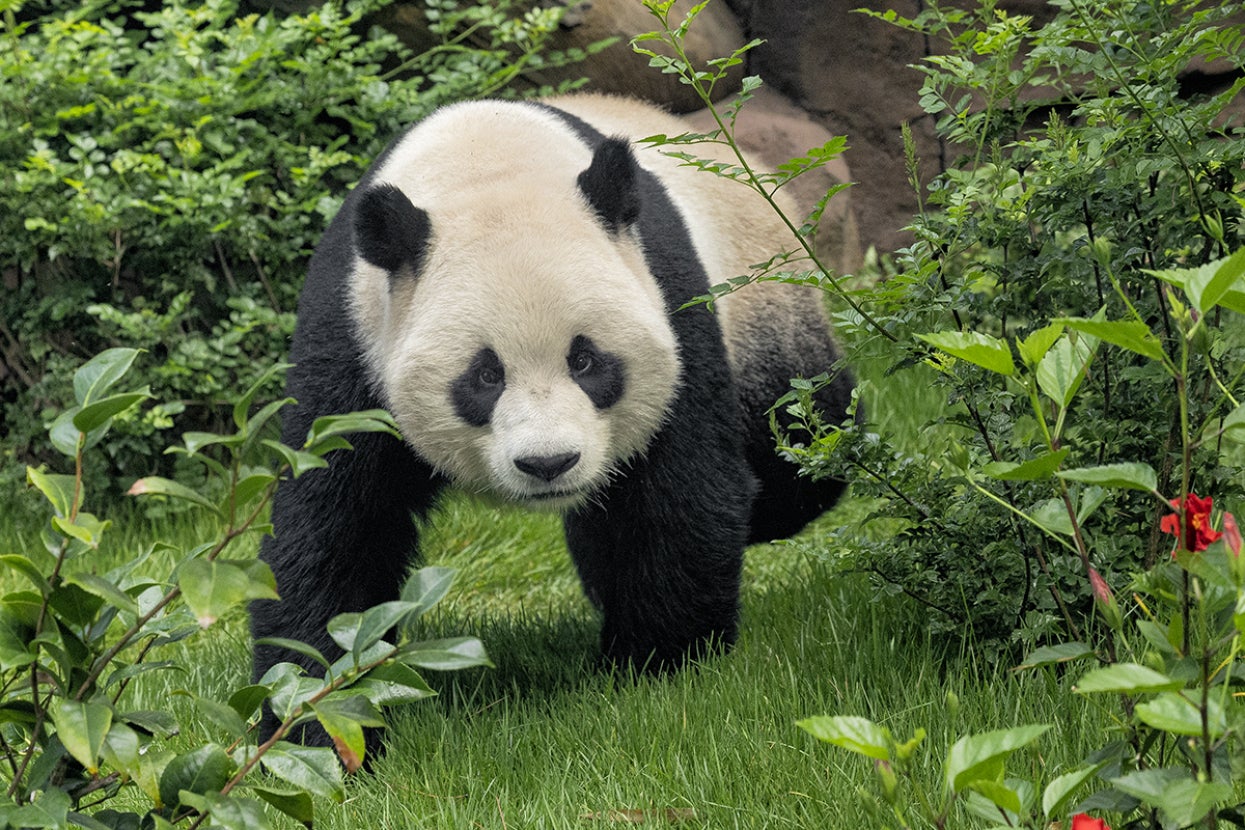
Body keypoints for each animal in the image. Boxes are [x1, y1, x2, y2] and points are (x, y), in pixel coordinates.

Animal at [249, 94, 854, 709]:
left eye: (584, 361)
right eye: (485, 375)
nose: (548, 464)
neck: (486, 162)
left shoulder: (671, 301)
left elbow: (679, 494)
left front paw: (658, 667)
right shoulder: (353, 333)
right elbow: (339, 523)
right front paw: (316, 705)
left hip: (764, 309)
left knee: (799, 452)